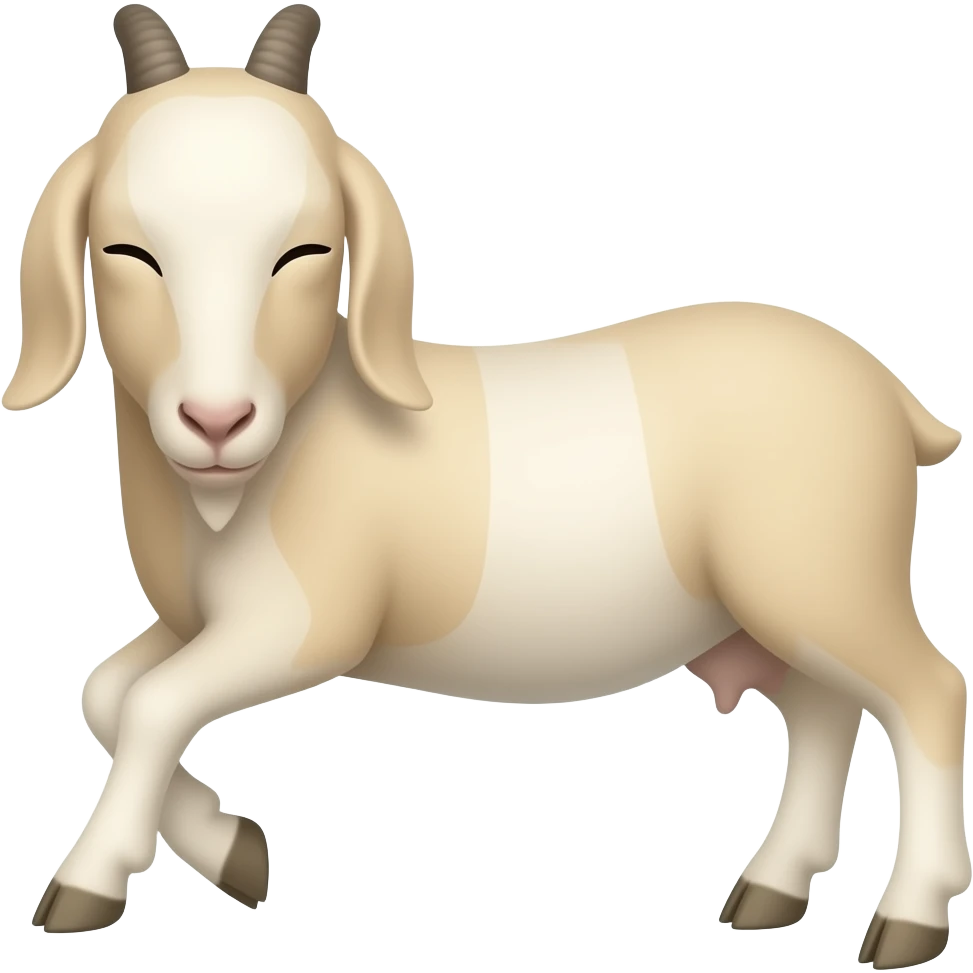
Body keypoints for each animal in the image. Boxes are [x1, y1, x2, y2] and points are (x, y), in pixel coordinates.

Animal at [6, 5, 968, 966]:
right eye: (127, 250)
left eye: (305, 251)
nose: (216, 420)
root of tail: (890, 394)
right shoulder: (195, 624)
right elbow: (106, 694)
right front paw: (236, 853)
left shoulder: (303, 624)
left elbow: (153, 704)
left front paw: (86, 885)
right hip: (772, 612)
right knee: (822, 711)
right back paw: (770, 889)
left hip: (821, 579)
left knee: (924, 691)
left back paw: (909, 918)